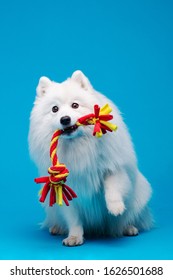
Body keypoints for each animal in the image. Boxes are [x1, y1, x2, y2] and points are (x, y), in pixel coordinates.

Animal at [28, 70, 153, 245]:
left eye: (75, 105)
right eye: (55, 109)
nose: (65, 119)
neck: (79, 147)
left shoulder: (114, 168)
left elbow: (112, 187)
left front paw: (115, 207)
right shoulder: (66, 189)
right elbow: (73, 218)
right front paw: (74, 237)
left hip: (139, 196)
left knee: (130, 218)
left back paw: (128, 228)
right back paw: (57, 228)